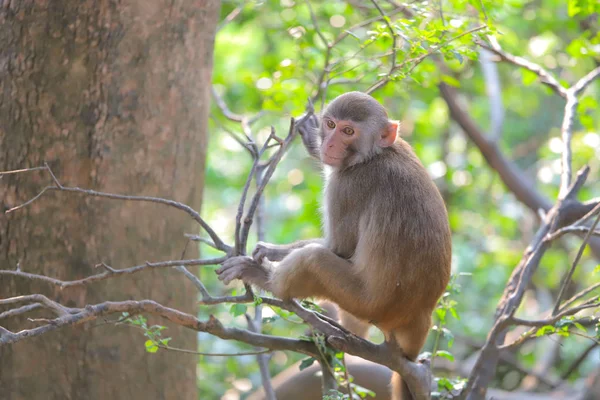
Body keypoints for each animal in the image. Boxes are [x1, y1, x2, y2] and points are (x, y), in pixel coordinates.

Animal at [218, 91, 452, 400]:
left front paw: (272, 252)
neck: (375, 154)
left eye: (348, 131)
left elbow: (339, 248)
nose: (328, 143)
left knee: (313, 260)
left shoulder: (347, 185)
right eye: (330, 125)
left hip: (364, 303)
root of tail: (421, 314)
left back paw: (265, 279)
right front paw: (312, 141)